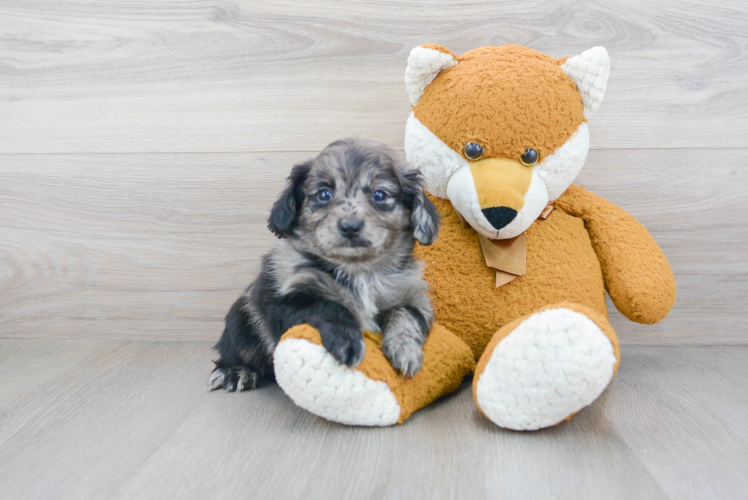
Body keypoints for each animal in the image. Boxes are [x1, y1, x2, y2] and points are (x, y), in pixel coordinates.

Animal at [207, 139, 442, 392]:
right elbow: (328, 307)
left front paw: (405, 350)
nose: (350, 227)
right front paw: (347, 341)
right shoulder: (285, 299)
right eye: (324, 194)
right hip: (241, 321)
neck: (359, 270)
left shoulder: (412, 296)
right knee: (236, 352)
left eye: (379, 195)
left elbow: (404, 314)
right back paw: (235, 372)